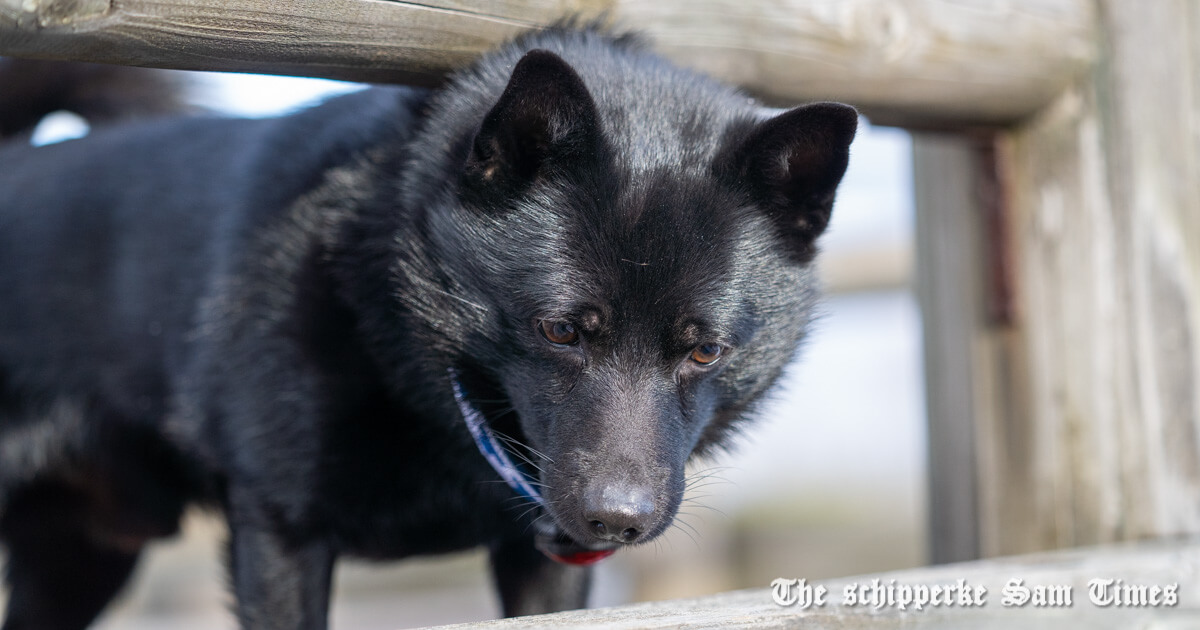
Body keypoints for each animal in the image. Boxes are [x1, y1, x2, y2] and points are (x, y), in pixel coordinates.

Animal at [0, 23, 854, 628]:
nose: (617, 520)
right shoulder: (280, 530)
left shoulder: (541, 563)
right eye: (561, 332)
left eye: (704, 349)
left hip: (80, 563)